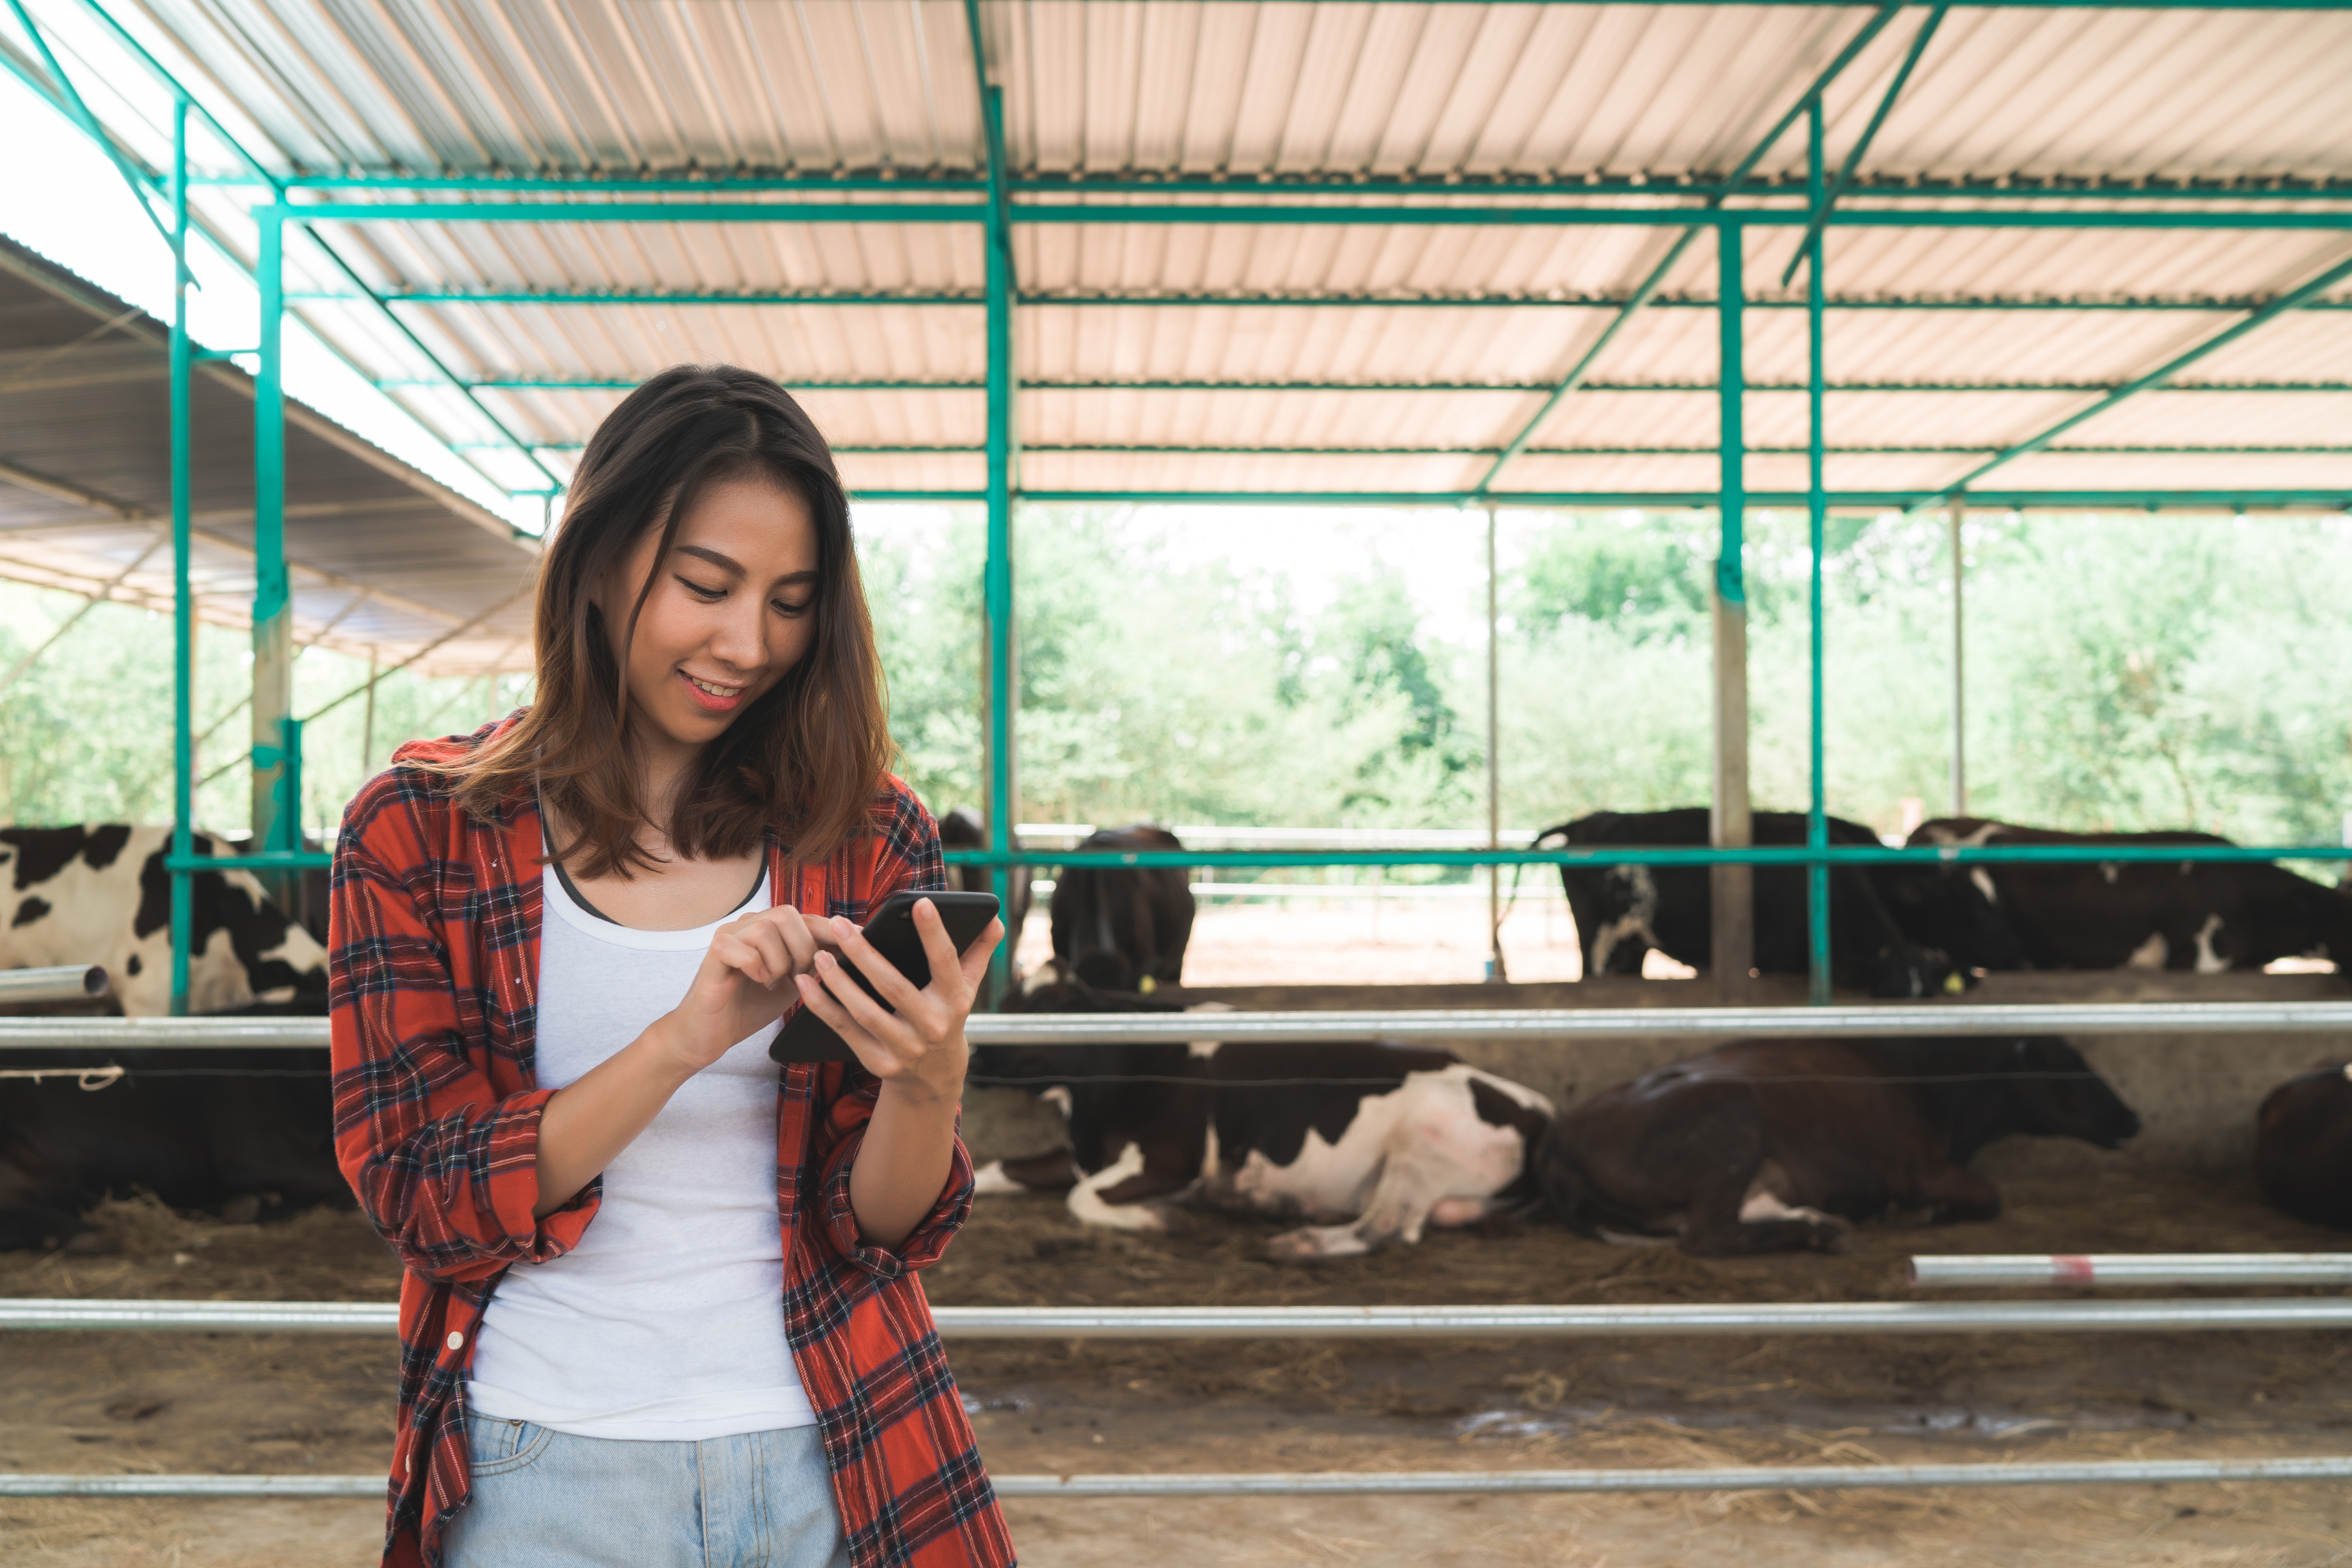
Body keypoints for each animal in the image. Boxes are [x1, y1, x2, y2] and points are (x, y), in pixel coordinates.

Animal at [1534, 1034, 2145, 1260]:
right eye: (2069, 1068)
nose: (2133, 1117)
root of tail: (1560, 1143)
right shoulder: (1921, 1168)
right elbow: (1989, 1196)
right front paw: (1919, 1214)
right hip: (1734, 1122)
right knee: (1710, 1236)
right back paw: (1823, 1231)